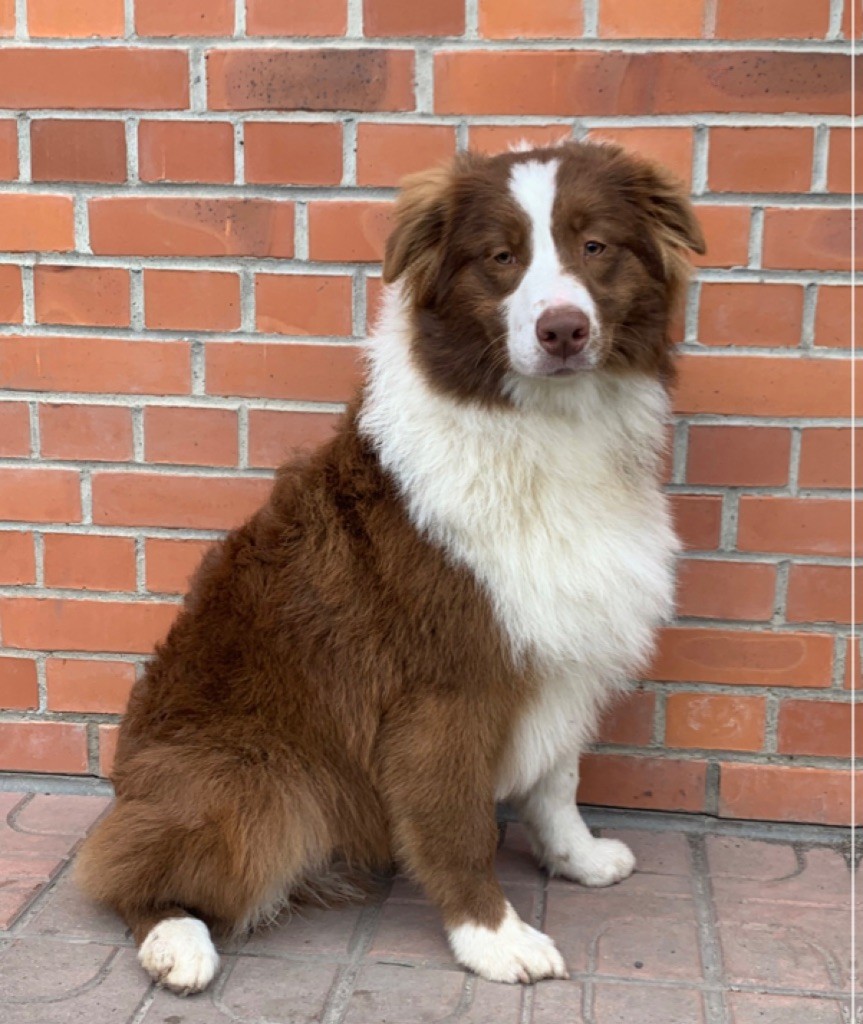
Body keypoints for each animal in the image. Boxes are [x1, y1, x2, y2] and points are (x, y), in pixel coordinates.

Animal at [76, 141, 705, 995]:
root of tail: (125, 780)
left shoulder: (558, 644)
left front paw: (574, 858)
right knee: (122, 865)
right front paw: (492, 936)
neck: (545, 429)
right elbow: (457, 823)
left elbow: (556, 781)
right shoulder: (444, 686)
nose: (563, 330)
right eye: (501, 258)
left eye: (594, 246)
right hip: (257, 780)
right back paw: (176, 939)